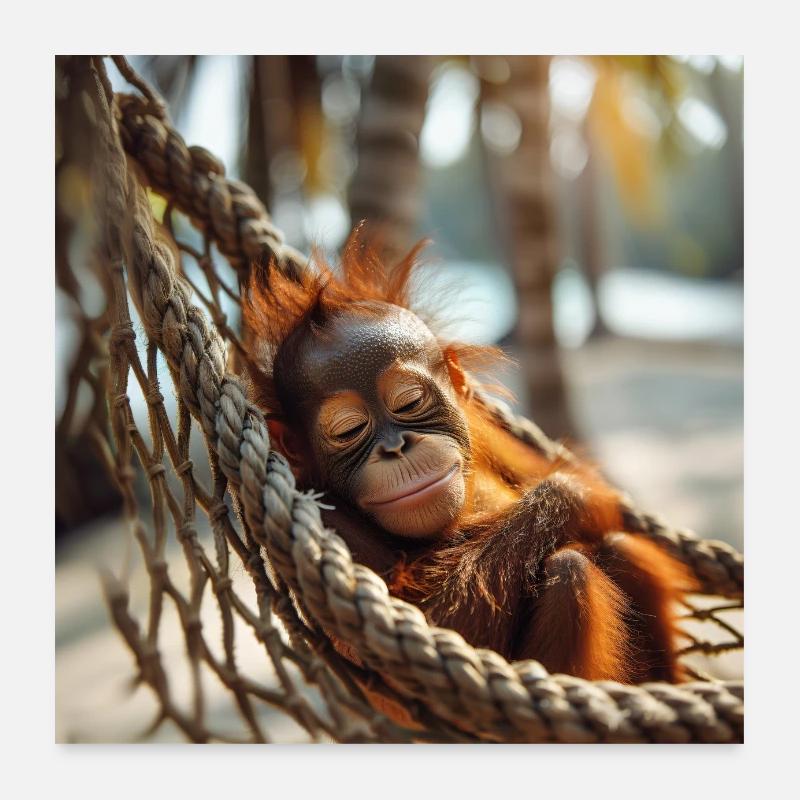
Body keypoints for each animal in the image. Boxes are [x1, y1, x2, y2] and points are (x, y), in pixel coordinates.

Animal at [242, 234, 694, 684]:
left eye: (409, 402)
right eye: (349, 431)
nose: (396, 447)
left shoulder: (480, 426)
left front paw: (584, 490)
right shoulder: (319, 510)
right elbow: (438, 623)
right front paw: (576, 494)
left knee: (618, 546)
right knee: (570, 573)